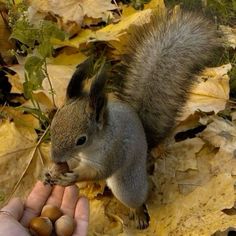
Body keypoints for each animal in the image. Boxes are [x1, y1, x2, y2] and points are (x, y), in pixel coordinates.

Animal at [45, 10, 218, 230]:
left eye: (81, 140)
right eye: (53, 125)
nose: (55, 158)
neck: (95, 144)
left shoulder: (113, 152)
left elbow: (98, 171)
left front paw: (73, 177)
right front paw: (52, 170)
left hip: (129, 185)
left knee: (137, 198)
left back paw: (139, 215)